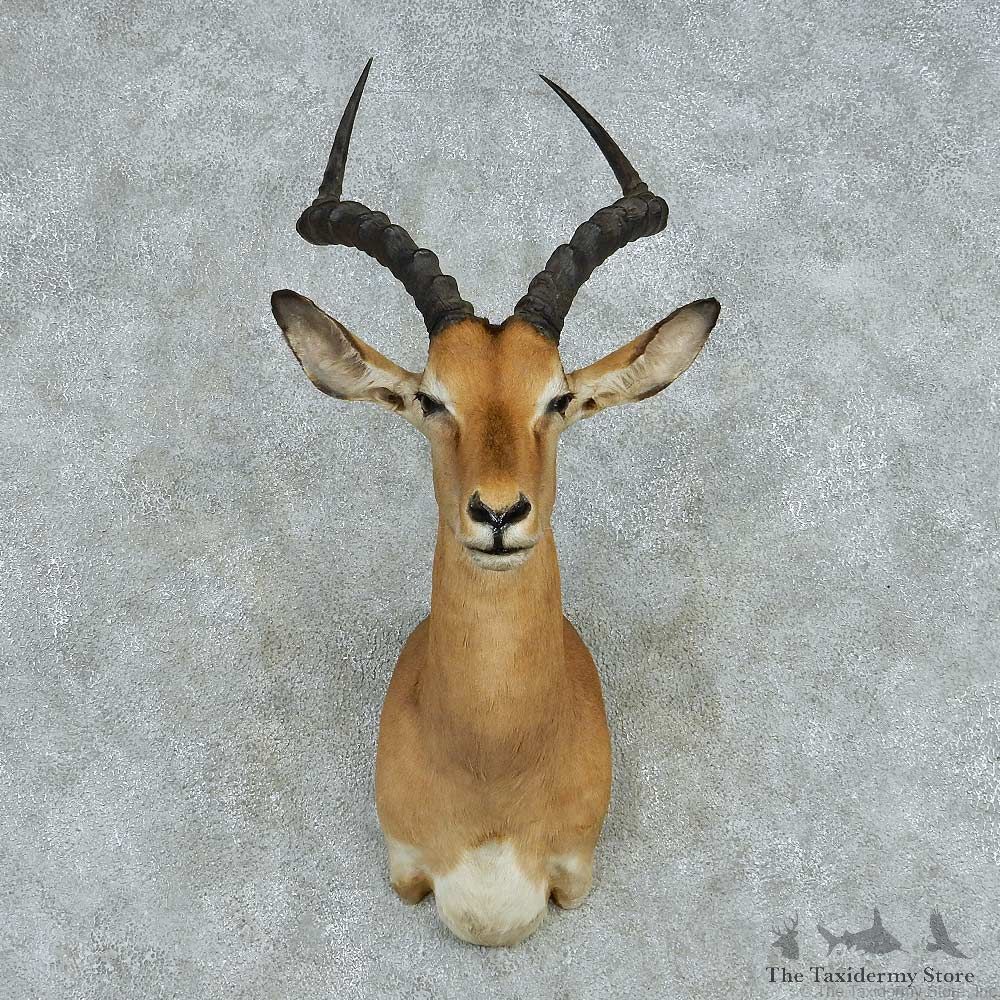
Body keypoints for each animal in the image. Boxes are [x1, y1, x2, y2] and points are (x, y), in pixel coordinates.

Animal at [270, 59, 720, 947]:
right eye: (432, 398)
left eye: (557, 397)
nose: (500, 515)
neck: (492, 778)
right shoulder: (406, 869)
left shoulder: (575, 876)